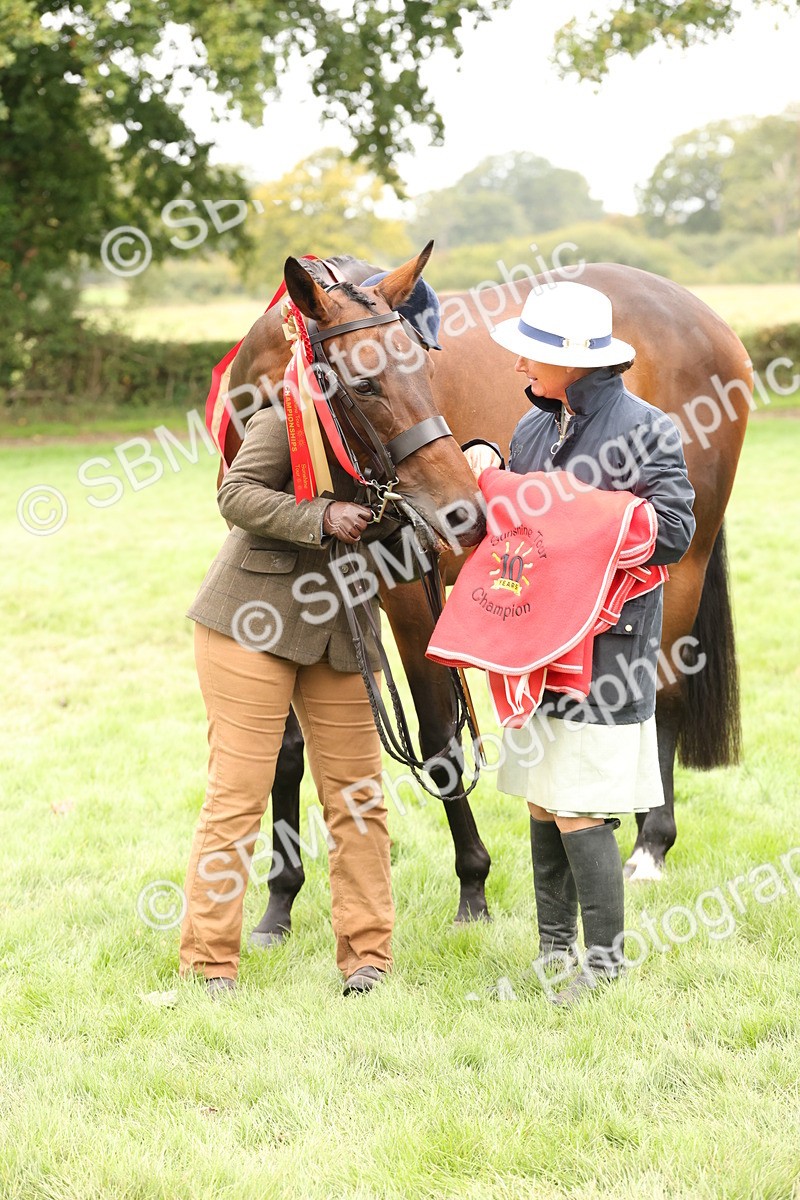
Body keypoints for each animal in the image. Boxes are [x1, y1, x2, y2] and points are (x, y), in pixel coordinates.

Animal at [214, 250, 750, 943]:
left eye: (423, 366)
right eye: (364, 386)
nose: (464, 510)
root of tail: (704, 317)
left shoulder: (411, 598)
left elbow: (441, 742)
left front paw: (474, 888)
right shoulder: (291, 593)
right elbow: (284, 751)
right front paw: (278, 902)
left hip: (682, 562)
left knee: (665, 690)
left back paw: (648, 847)